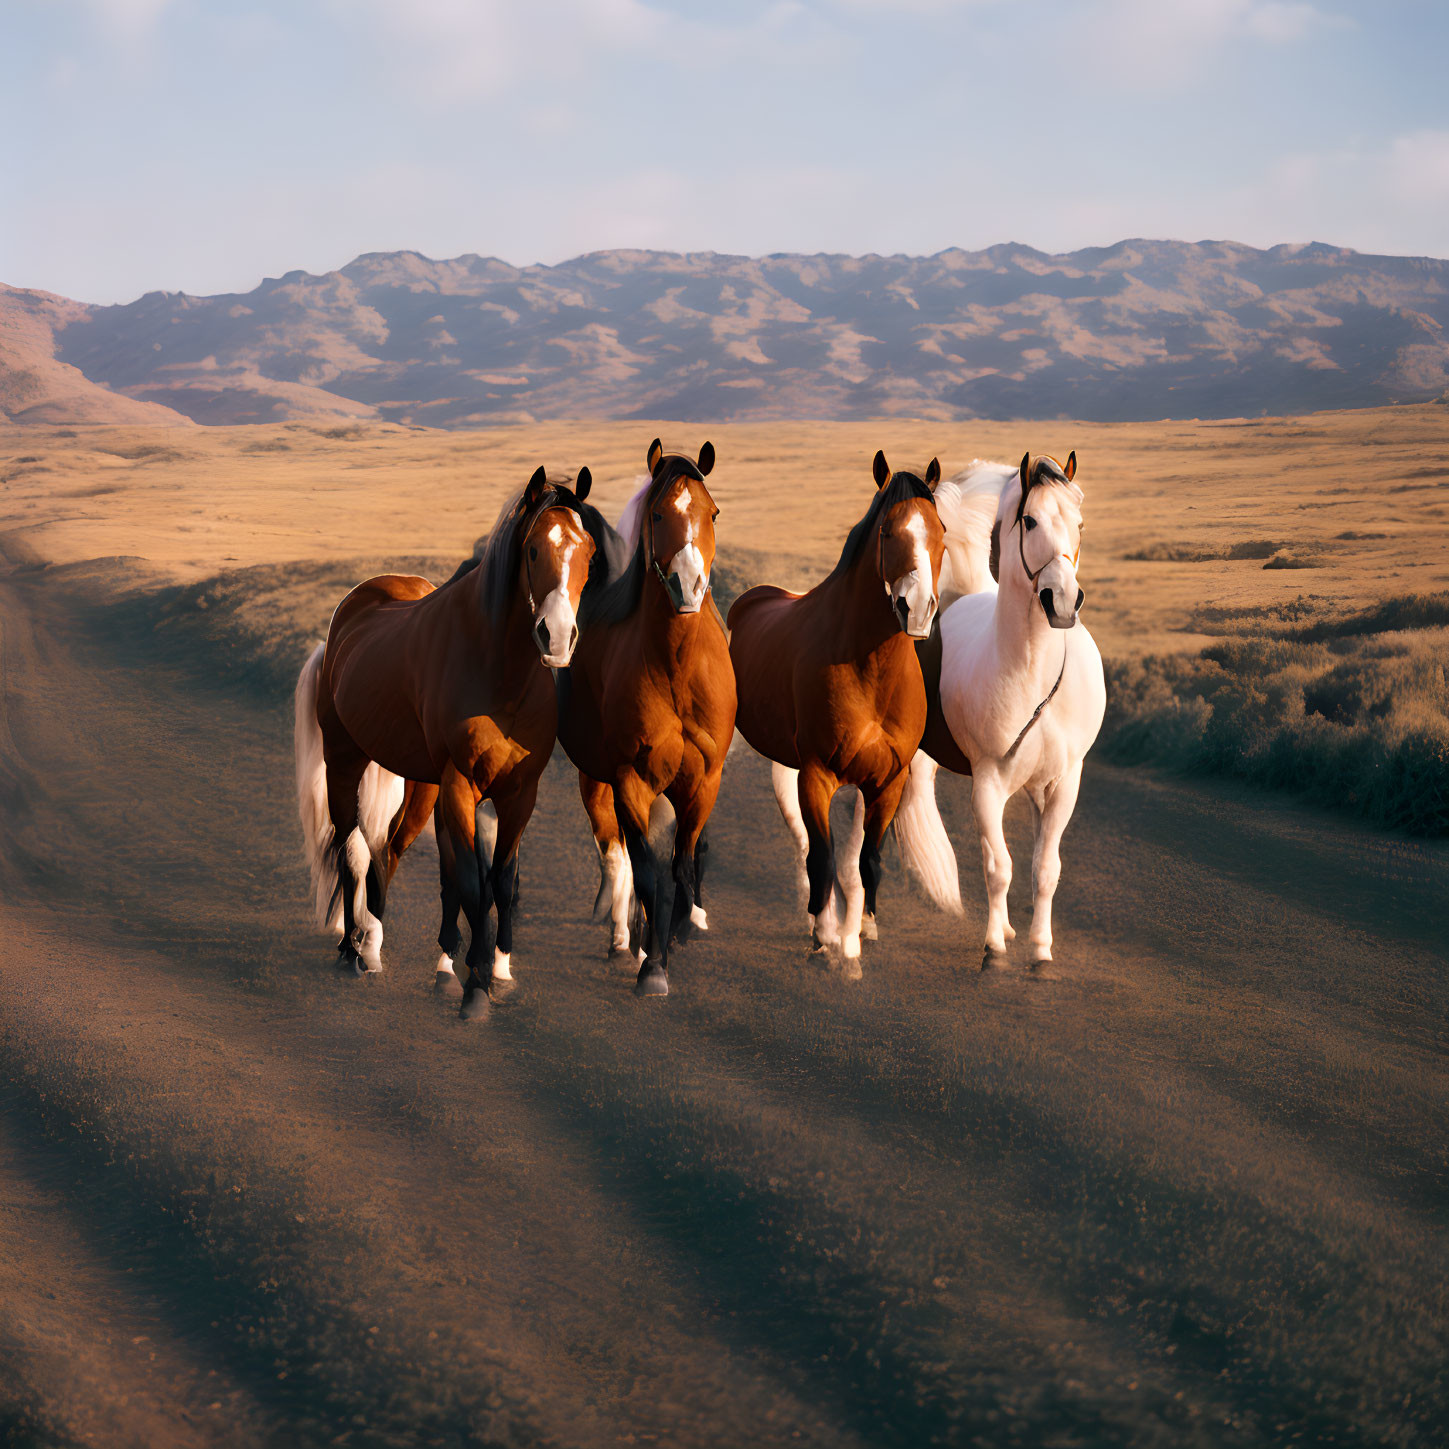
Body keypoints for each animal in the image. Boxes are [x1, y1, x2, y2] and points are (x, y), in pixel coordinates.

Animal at [297, 466, 596, 1020]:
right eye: (533, 551)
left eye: (586, 549)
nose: (557, 637)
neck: (499, 675)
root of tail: (348, 615)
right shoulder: (460, 786)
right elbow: (472, 883)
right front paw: (471, 985)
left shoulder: (519, 793)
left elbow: (499, 880)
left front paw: (494, 971)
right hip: (345, 761)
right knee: (352, 850)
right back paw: (351, 950)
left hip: (421, 786)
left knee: (387, 852)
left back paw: (374, 946)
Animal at [553, 437, 736, 996]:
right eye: (658, 513)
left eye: (711, 512)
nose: (688, 585)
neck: (675, 666)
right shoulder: (630, 779)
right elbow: (648, 871)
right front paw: (652, 966)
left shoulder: (704, 781)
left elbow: (681, 863)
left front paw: (678, 933)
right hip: (597, 779)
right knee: (616, 853)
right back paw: (621, 936)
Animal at [730, 446, 944, 979]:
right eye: (887, 532)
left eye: (940, 531)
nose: (917, 609)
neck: (869, 670)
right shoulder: (818, 776)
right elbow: (825, 859)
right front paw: (824, 938)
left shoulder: (888, 783)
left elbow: (867, 860)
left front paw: (862, 929)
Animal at [892, 449, 1107, 973]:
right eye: (1030, 521)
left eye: (1079, 522)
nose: (1063, 601)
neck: (1031, 673)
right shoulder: (987, 782)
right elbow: (998, 866)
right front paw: (993, 948)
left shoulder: (1062, 784)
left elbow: (1044, 869)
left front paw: (1040, 948)